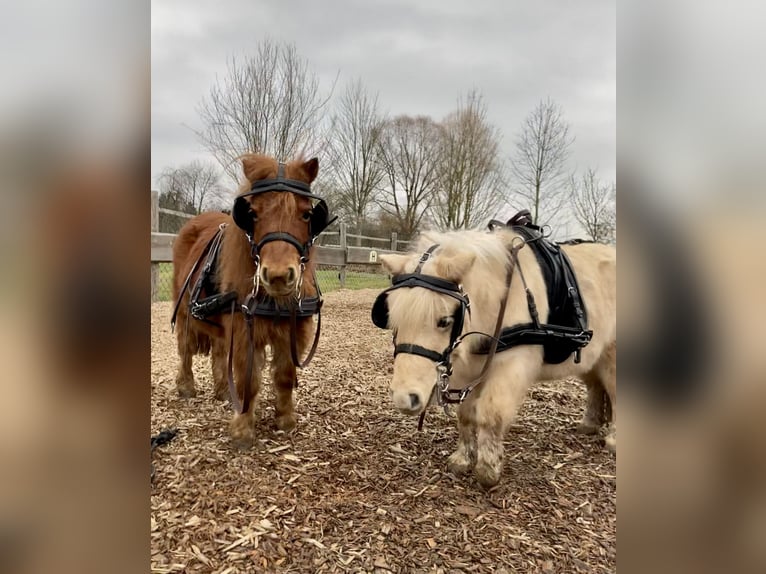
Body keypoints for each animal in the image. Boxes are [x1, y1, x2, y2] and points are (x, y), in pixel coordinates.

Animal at [171, 155, 332, 448]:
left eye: (307, 214)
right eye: (253, 214)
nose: (278, 275)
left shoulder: (293, 332)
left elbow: (285, 376)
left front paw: (285, 419)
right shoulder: (244, 330)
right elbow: (250, 380)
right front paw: (243, 430)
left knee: (220, 351)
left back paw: (223, 390)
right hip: (185, 310)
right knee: (186, 348)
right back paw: (186, 385)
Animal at [376, 227, 616, 488]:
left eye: (444, 321)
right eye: (392, 320)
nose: (404, 399)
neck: (502, 298)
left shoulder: (512, 365)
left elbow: (492, 413)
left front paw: (488, 470)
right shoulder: (470, 367)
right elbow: (465, 414)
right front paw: (463, 458)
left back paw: (613, 439)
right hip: (592, 359)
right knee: (596, 387)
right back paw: (590, 424)